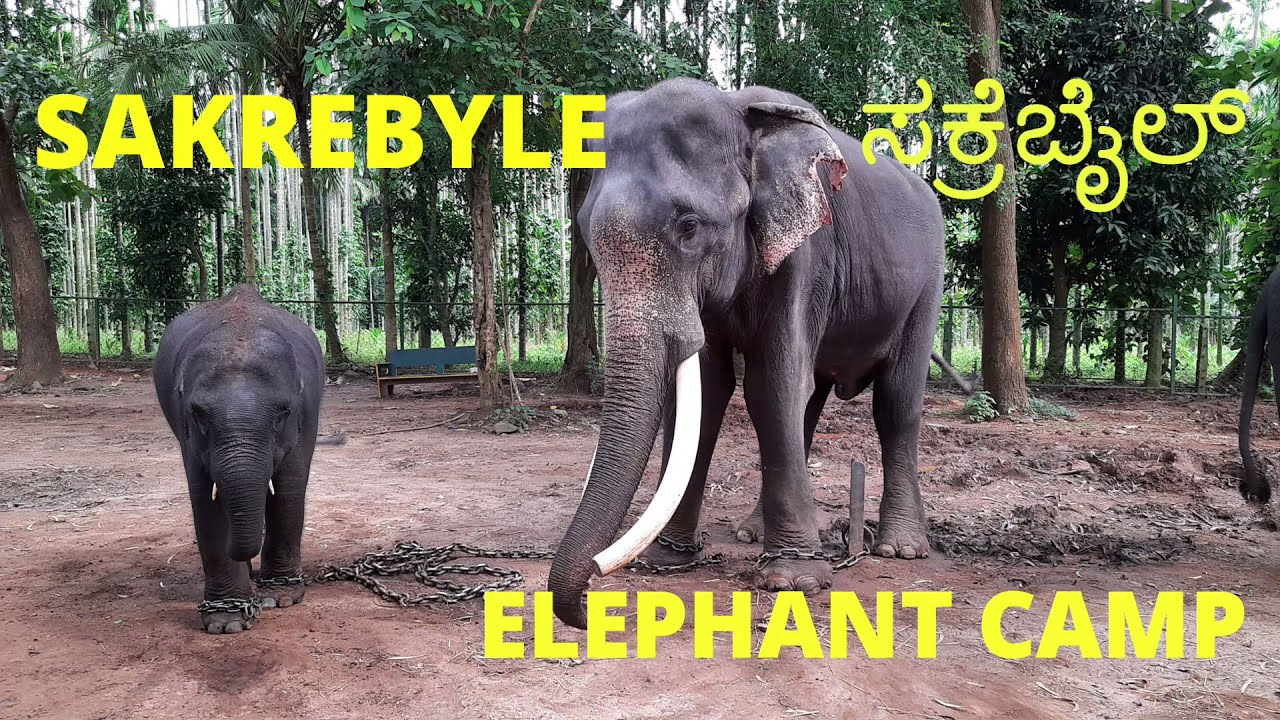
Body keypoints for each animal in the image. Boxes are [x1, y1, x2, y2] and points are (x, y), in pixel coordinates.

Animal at [154, 284, 331, 633]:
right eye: (198, 414)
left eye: (282, 413)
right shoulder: (187, 431)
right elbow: (204, 498)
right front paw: (227, 621)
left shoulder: (306, 413)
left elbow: (289, 487)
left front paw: (280, 597)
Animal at [548, 78, 949, 629]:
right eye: (585, 230)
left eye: (689, 226)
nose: (590, 600)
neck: (742, 112)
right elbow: (708, 389)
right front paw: (669, 558)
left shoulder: (807, 252)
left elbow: (773, 384)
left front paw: (794, 581)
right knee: (810, 405)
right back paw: (753, 532)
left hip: (926, 286)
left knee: (895, 402)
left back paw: (901, 549)